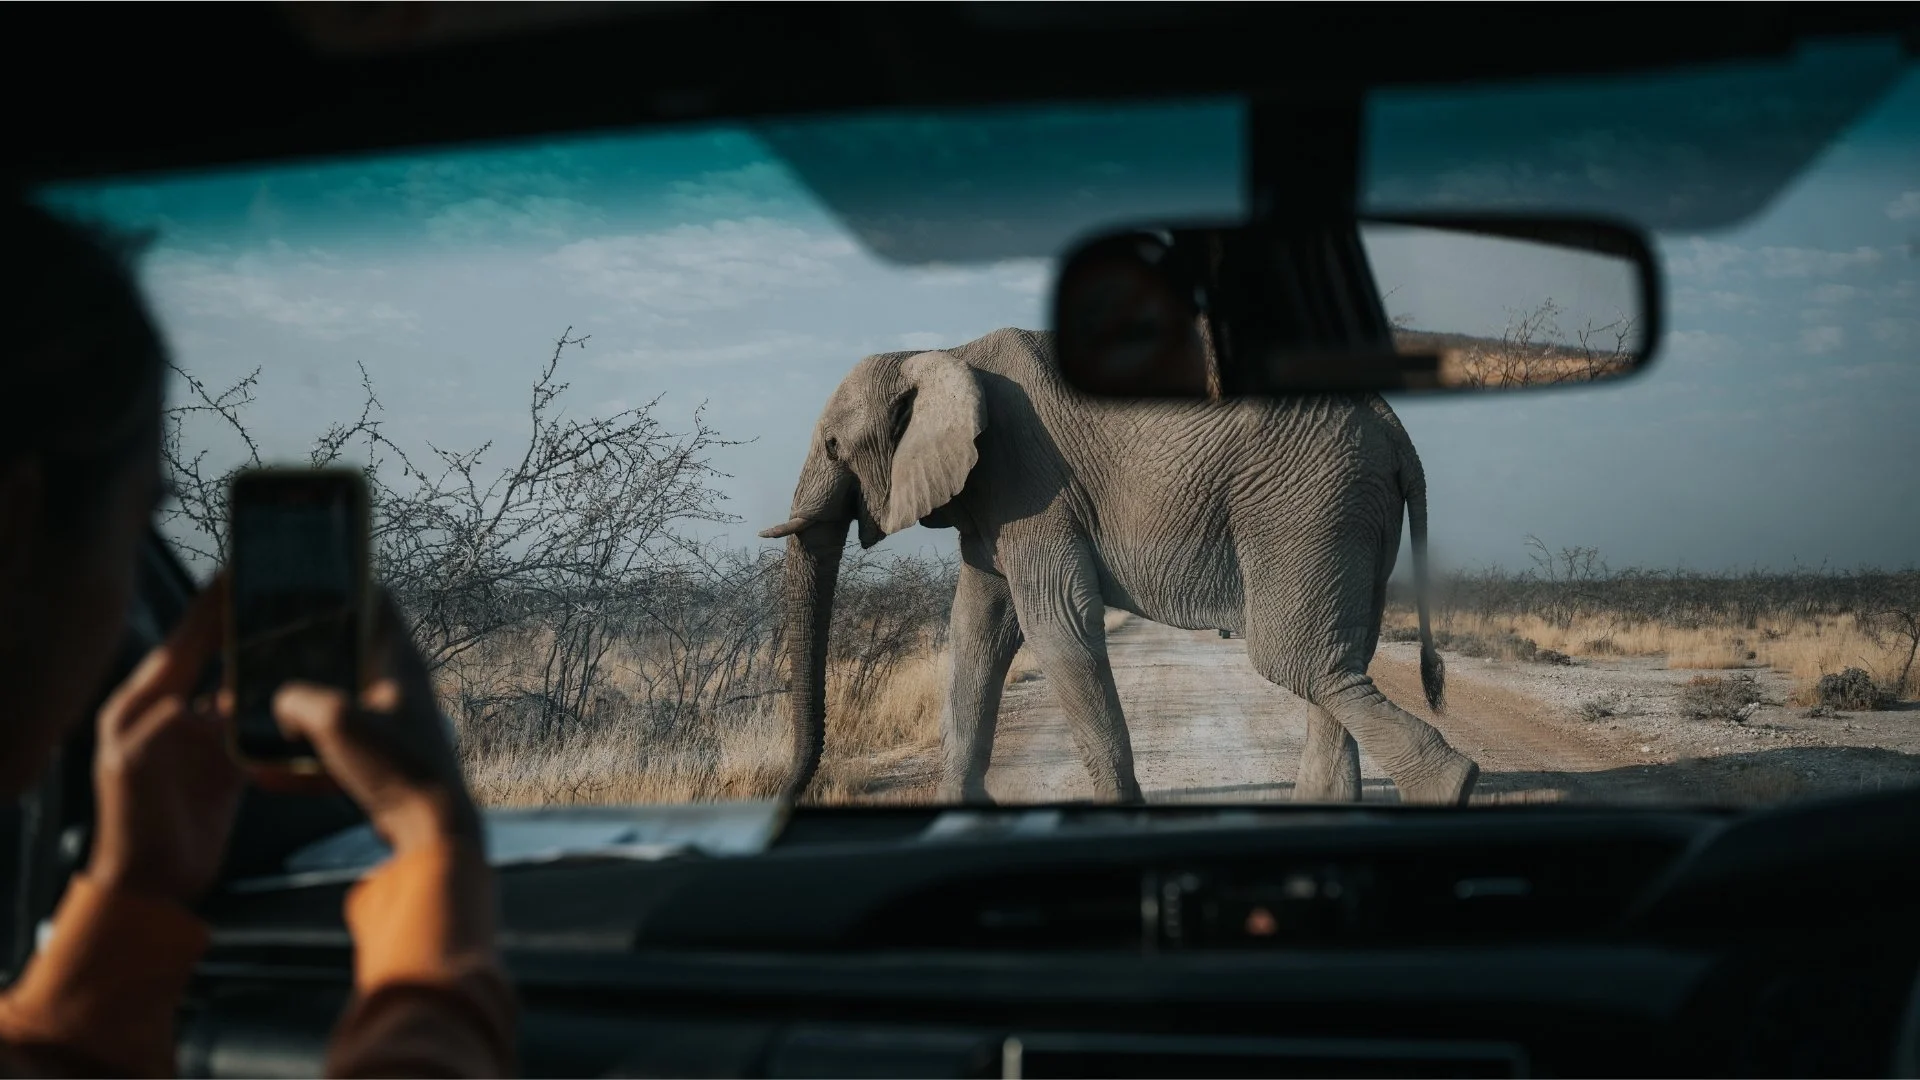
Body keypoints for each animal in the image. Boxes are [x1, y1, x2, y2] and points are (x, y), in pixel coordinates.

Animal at [760, 326, 1479, 807]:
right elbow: (977, 631)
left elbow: (1056, 625)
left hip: (1308, 503)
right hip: (1349, 509)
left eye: (834, 446)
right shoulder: (990, 496)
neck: (944, 352)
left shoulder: (1029, 481)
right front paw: (963, 812)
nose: (786, 793)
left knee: (1295, 658)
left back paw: (1453, 789)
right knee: (1339, 656)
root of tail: (1393, 426)